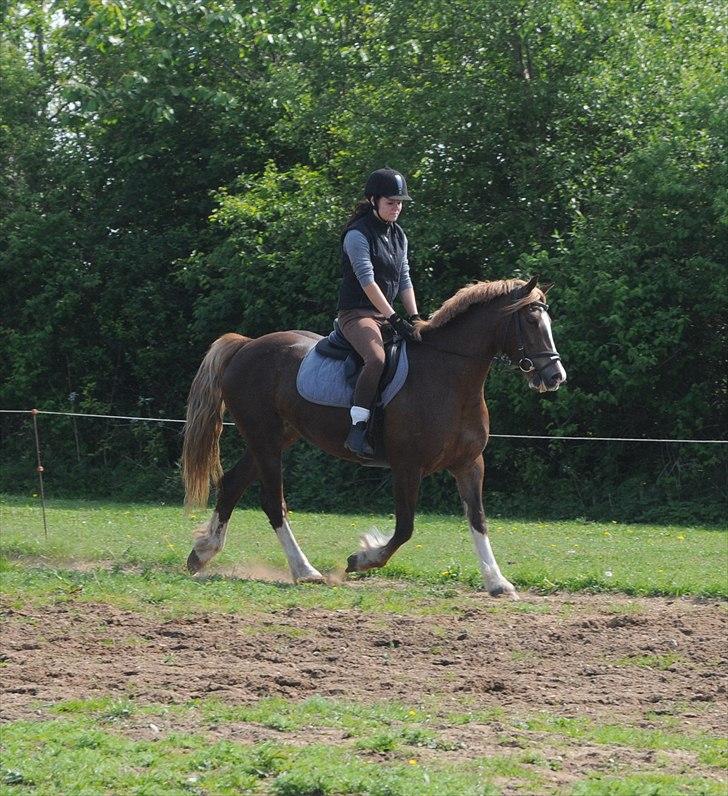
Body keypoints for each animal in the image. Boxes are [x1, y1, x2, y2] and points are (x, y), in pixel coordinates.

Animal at [181, 276, 564, 600]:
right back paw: (304, 570)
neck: (448, 376)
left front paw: (497, 582)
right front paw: (362, 559)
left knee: (232, 483)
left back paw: (202, 553)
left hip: (274, 439)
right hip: (265, 439)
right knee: (273, 502)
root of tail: (246, 346)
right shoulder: (407, 466)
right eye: (532, 322)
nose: (555, 376)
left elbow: (478, 520)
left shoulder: (469, 464)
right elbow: (405, 527)